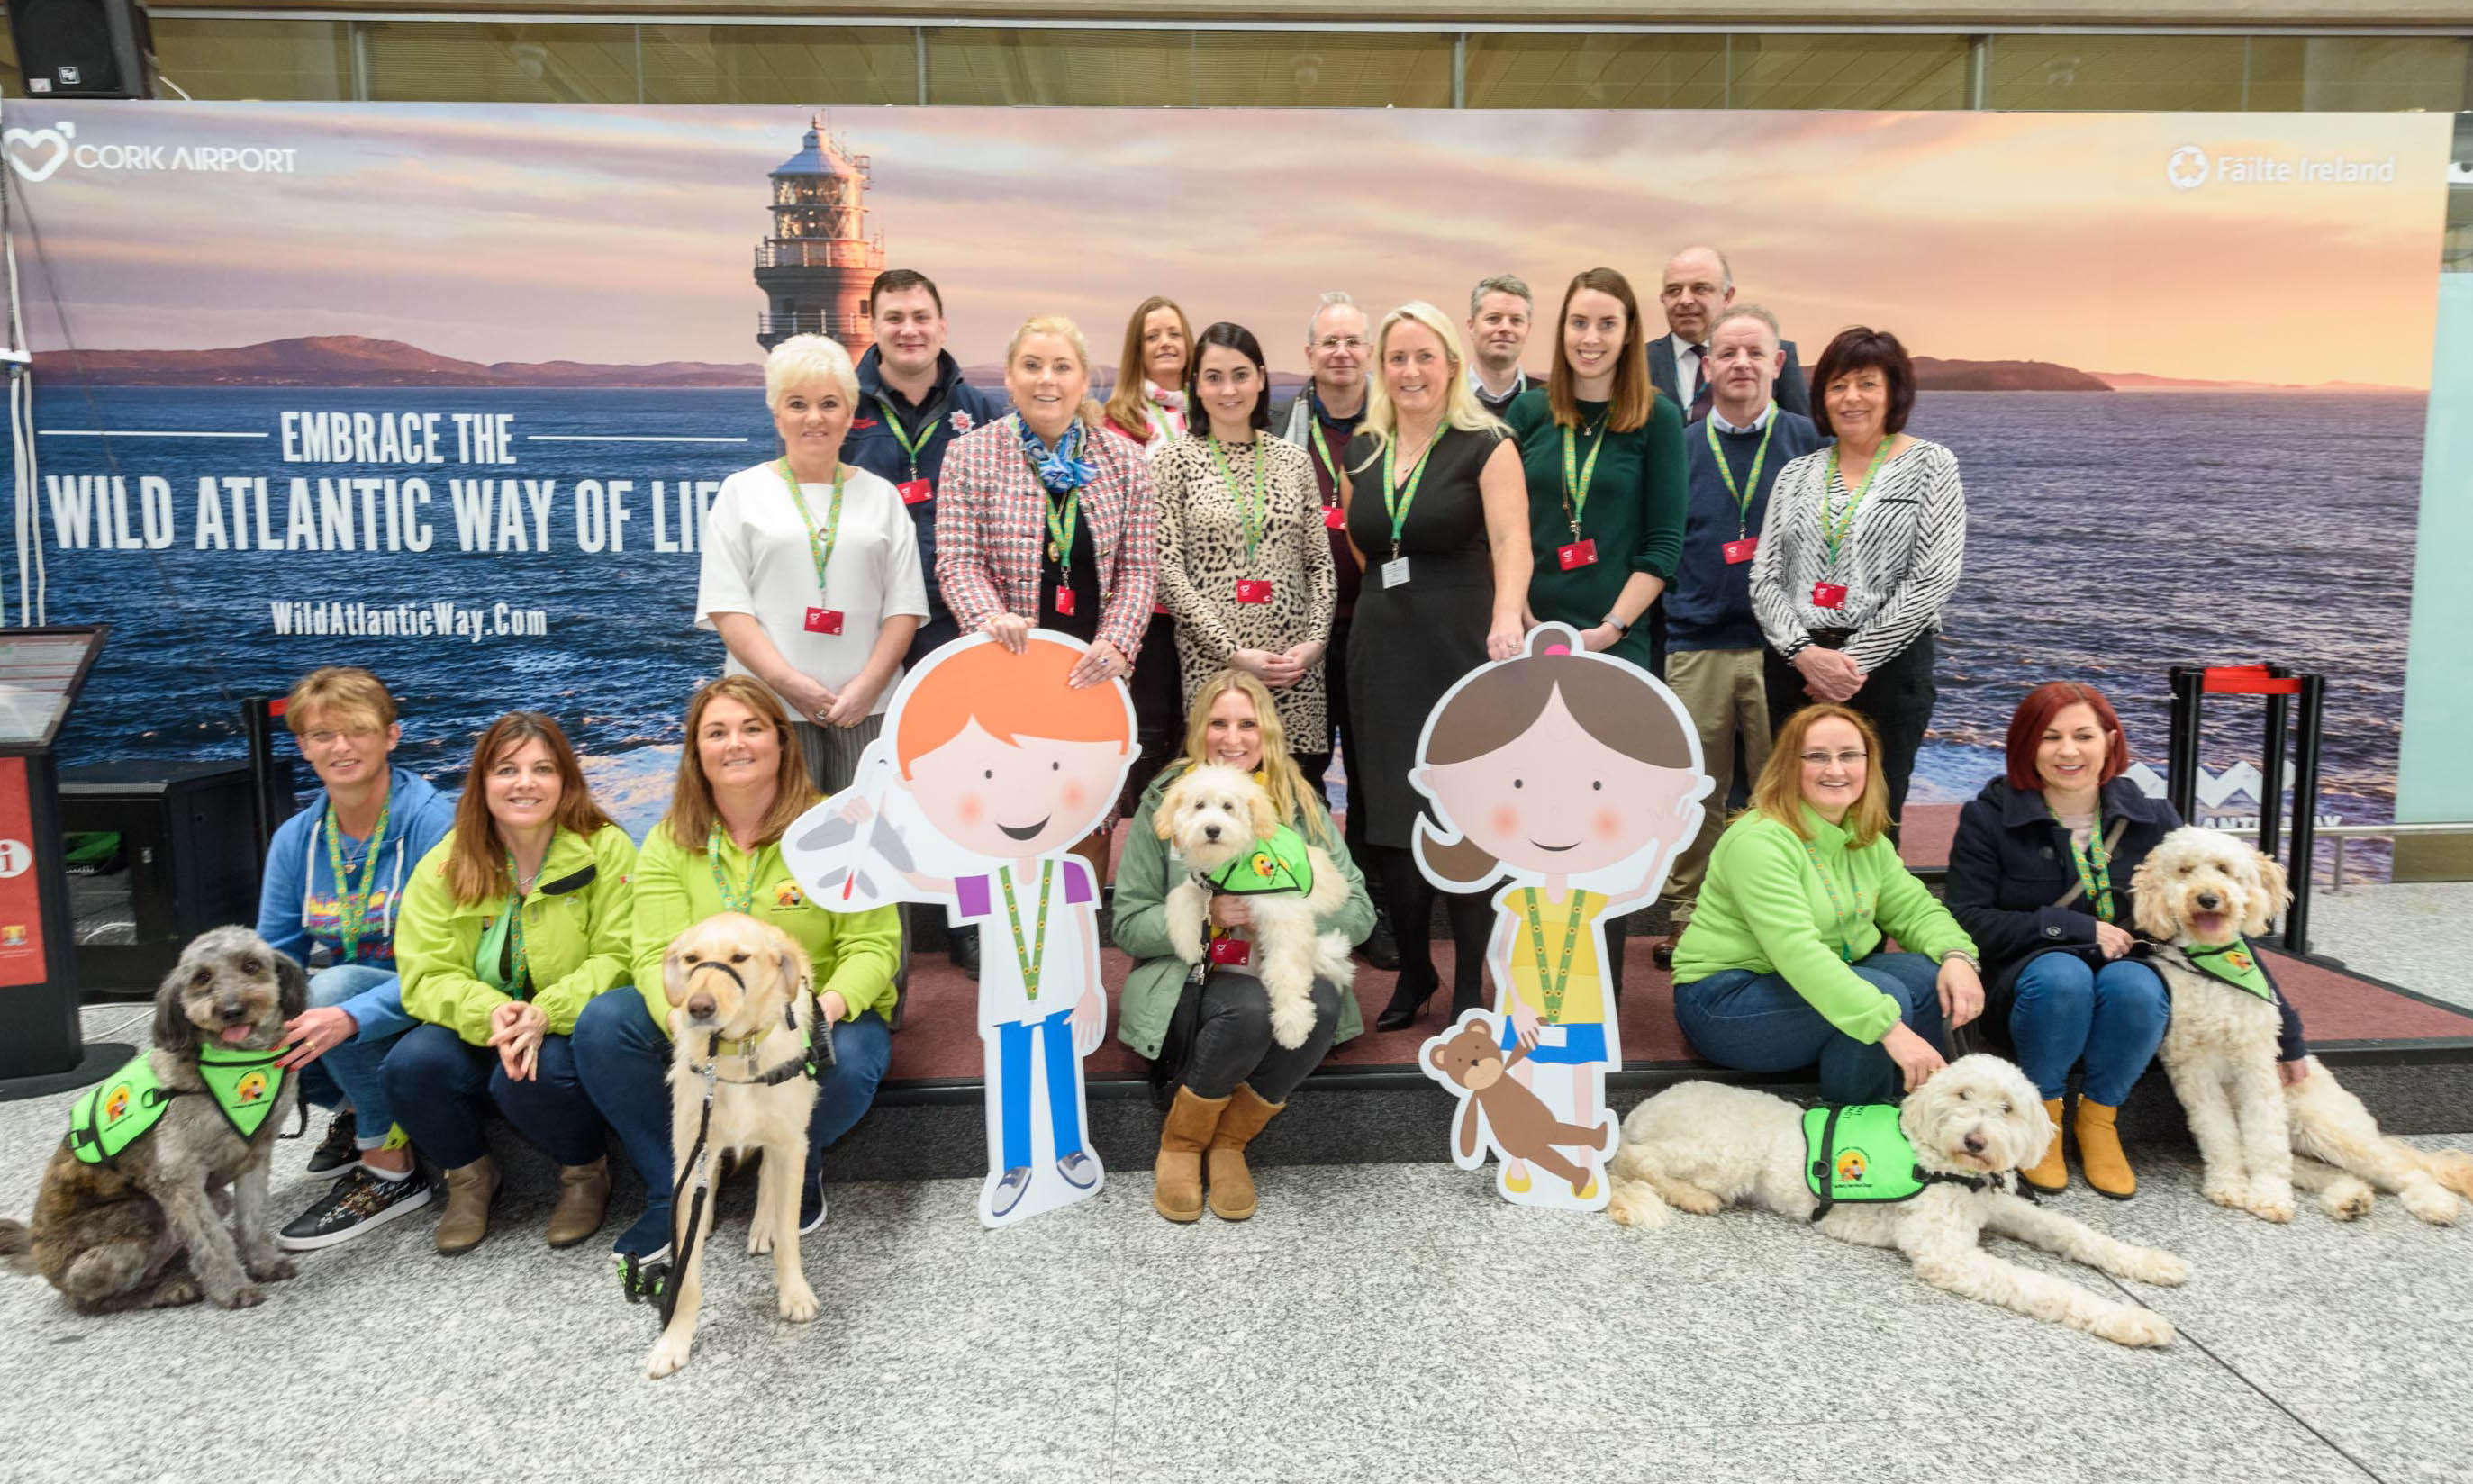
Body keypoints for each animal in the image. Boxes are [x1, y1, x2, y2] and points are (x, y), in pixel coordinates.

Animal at [1, 929, 309, 1306]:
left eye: (251, 965)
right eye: (202, 978)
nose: (231, 1011)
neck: (231, 1063)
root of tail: (38, 1255)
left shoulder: (255, 1159)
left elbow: (253, 1220)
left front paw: (264, 1263)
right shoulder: (180, 1180)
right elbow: (212, 1242)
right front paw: (232, 1287)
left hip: (213, 1199)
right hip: (131, 1225)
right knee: (96, 1299)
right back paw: (167, 1290)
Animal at [1602, 1054, 2186, 1345]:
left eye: (2006, 1108)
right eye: (1963, 1095)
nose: (1976, 1141)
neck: (1944, 1162)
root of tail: (1644, 1107)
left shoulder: (2001, 1208)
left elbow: (2075, 1233)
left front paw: (2150, 1263)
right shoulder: (1946, 1255)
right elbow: (2046, 1286)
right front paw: (2135, 1321)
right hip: (1726, 1154)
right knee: (1633, 1164)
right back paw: (1690, 1196)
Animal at [2126, 830, 2473, 1221]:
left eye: (2224, 868)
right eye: (2184, 870)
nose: (2208, 898)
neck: (2209, 966)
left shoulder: (2256, 1065)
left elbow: (2266, 1141)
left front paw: (2269, 1196)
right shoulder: (2194, 1071)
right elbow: (2218, 1134)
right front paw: (2229, 1184)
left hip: (2324, 1124)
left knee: (2402, 1167)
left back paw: (2433, 1201)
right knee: (2328, 1170)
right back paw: (2349, 1197)